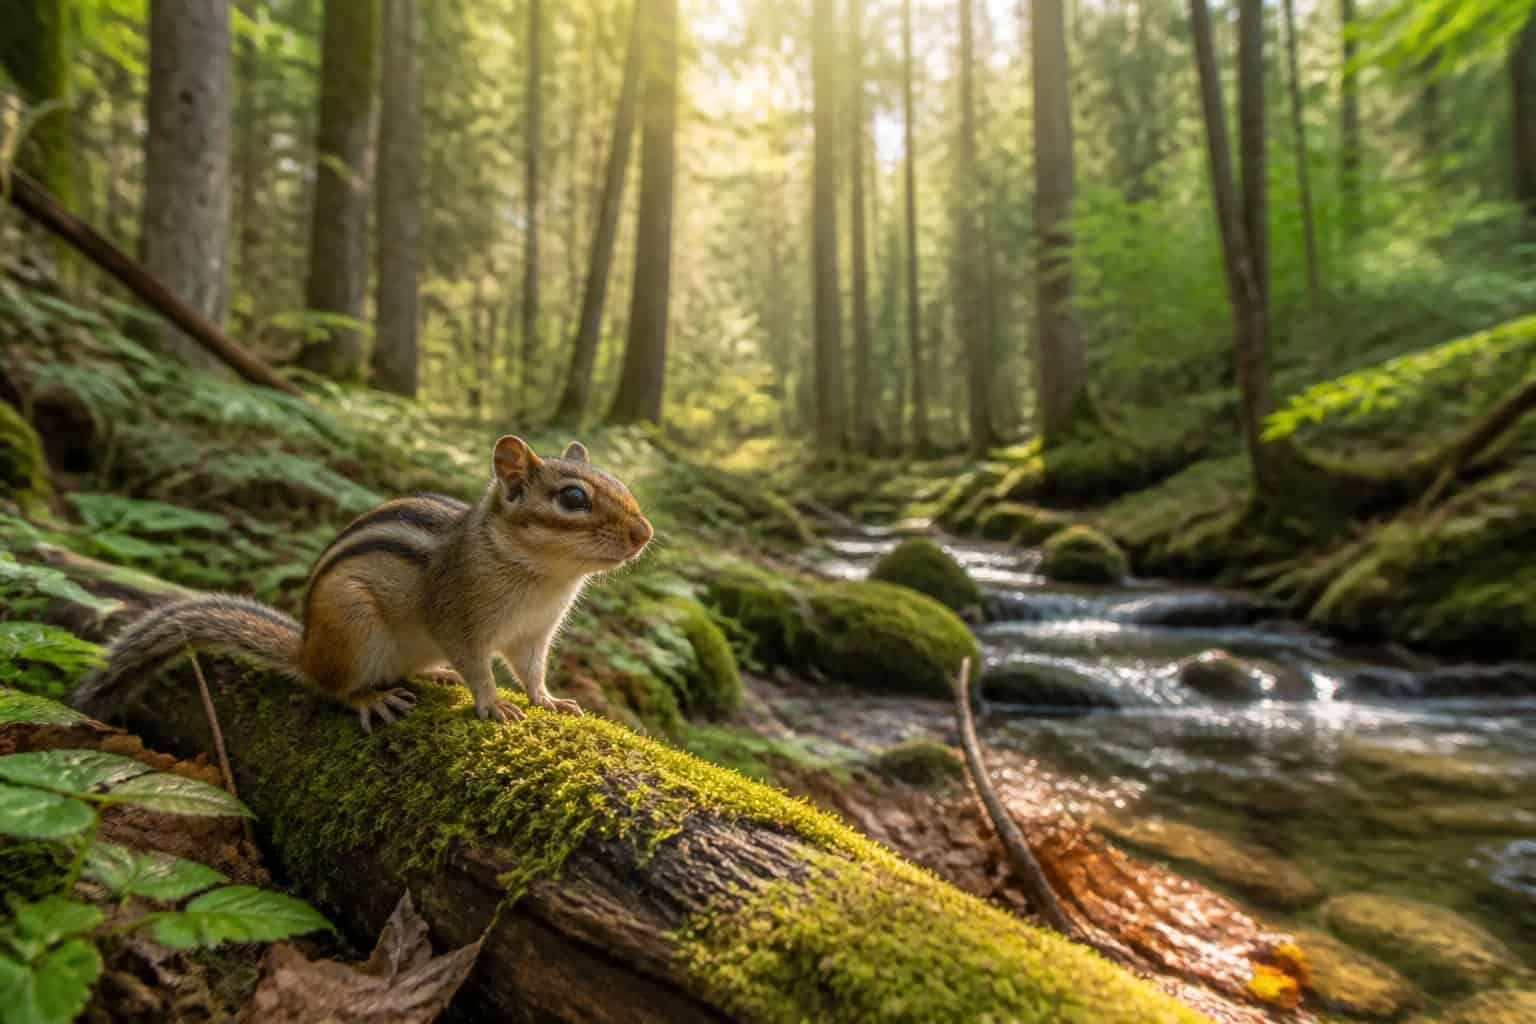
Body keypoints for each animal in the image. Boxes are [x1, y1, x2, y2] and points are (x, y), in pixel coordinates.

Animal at [72, 436, 653, 732]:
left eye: (621, 483)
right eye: (573, 498)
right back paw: (370, 700)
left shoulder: (535, 634)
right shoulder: (456, 616)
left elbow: (532, 672)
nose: (644, 533)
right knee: (332, 688)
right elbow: (478, 666)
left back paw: (435, 673)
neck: (544, 577)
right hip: (352, 626)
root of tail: (306, 649)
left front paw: (548, 700)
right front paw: (492, 702)